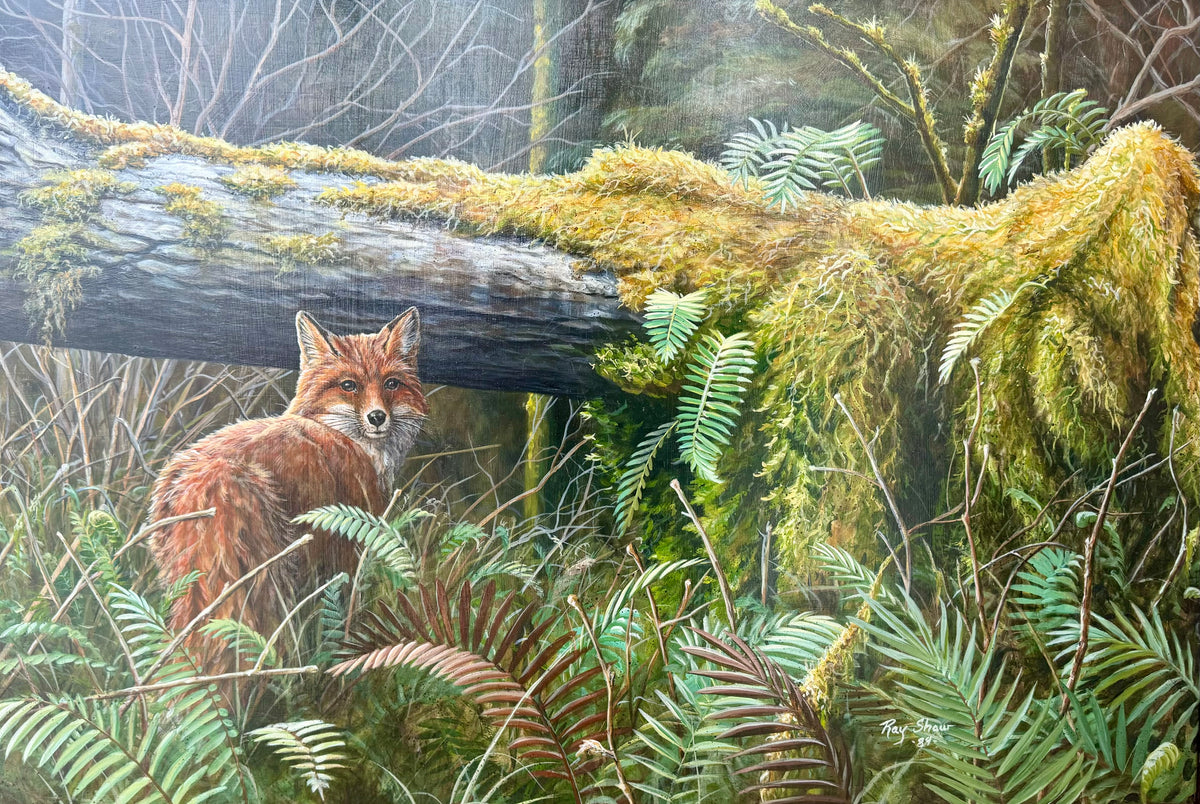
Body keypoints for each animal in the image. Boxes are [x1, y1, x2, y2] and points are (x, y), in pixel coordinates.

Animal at [148, 308, 427, 657]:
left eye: (392, 384)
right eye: (348, 385)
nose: (377, 418)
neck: (340, 434)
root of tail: (212, 474)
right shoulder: (349, 543)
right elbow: (347, 604)